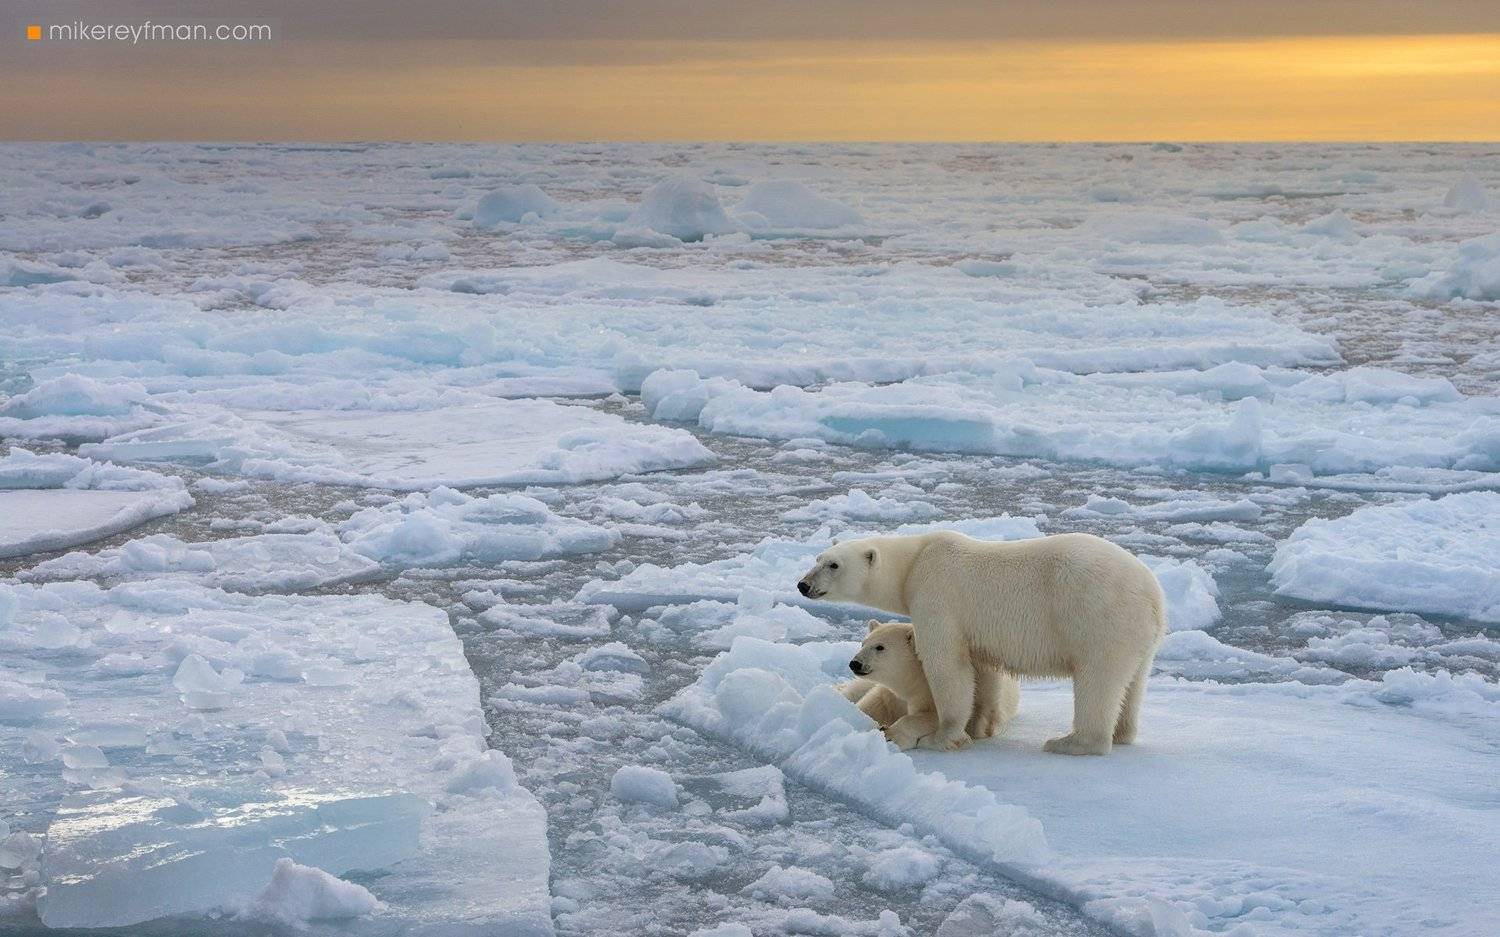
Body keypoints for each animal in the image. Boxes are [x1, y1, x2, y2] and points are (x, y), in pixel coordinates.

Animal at [839, 619, 1020, 750]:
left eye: (880, 647)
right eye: (863, 643)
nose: (855, 663)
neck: (916, 676)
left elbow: (934, 716)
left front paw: (891, 734)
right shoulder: (889, 694)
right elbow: (872, 704)